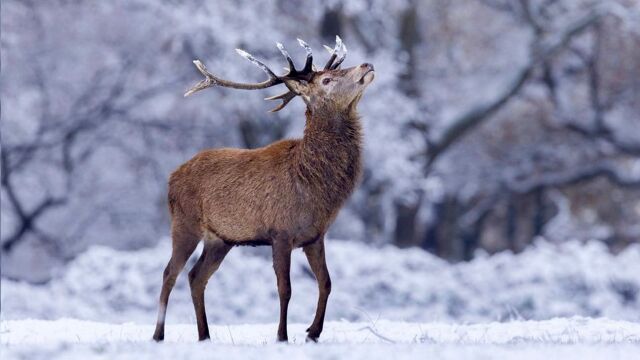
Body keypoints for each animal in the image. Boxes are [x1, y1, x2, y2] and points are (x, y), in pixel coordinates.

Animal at [154, 36, 376, 344]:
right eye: (327, 80)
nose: (367, 65)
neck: (311, 181)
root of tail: (171, 177)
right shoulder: (280, 232)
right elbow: (285, 288)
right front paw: (282, 336)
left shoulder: (314, 236)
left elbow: (326, 282)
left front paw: (313, 332)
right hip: (185, 223)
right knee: (169, 273)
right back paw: (159, 335)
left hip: (221, 239)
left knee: (196, 276)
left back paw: (205, 335)